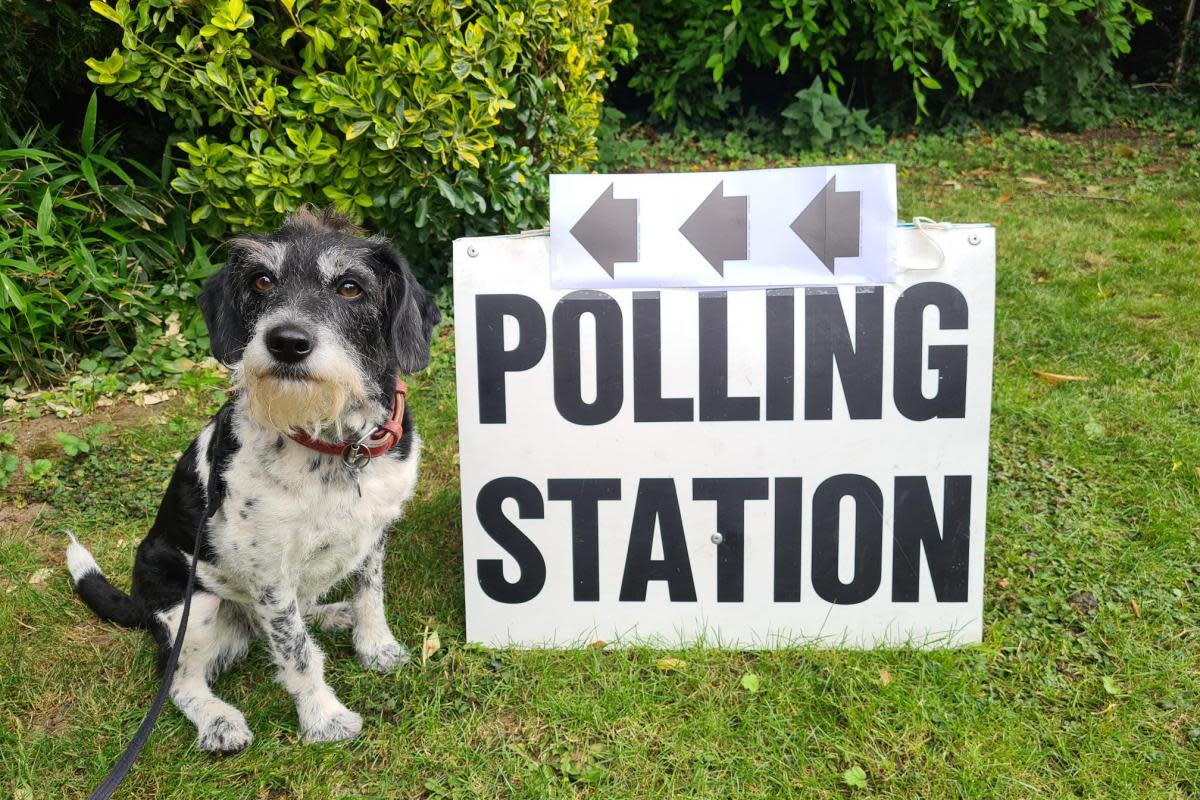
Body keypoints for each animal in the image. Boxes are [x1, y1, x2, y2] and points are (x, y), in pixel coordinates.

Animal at [65, 206, 441, 753]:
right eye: (262, 281)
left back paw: (335, 613)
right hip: (194, 608)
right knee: (179, 678)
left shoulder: (373, 534)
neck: (333, 444)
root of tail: (139, 603)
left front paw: (376, 648)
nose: (286, 342)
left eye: (350, 287)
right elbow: (297, 651)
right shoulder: (268, 570)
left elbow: (370, 594)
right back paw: (218, 721)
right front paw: (323, 718)